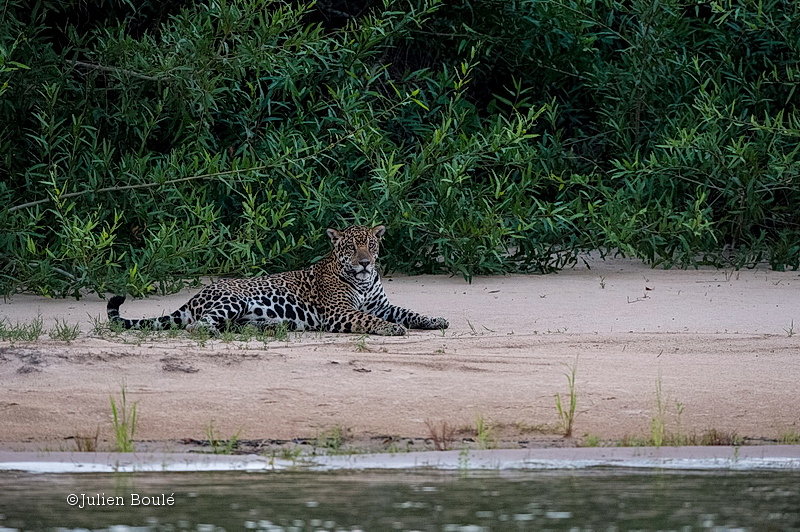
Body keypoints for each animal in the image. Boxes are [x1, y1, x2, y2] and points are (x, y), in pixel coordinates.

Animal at [106, 224, 449, 336]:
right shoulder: (340, 312)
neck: (362, 282)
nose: (365, 263)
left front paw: (435, 320)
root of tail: (196, 296)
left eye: (371, 245)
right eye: (351, 247)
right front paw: (392, 329)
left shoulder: (382, 305)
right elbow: (369, 319)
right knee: (197, 326)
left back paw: (270, 327)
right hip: (233, 300)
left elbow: (409, 312)